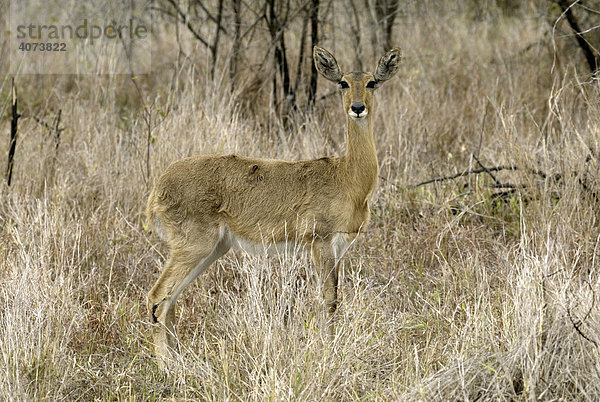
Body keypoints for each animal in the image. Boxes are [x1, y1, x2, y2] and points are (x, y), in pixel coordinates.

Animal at [145, 46, 398, 362]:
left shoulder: (340, 247)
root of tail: (158, 189)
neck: (347, 176)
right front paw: (326, 351)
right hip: (193, 246)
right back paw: (169, 367)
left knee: (170, 301)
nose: (358, 107)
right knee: (157, 297)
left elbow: (335, 298)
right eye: (343, 83)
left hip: (213, 249)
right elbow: (328, 300)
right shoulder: (320, 242)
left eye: (371, 82)